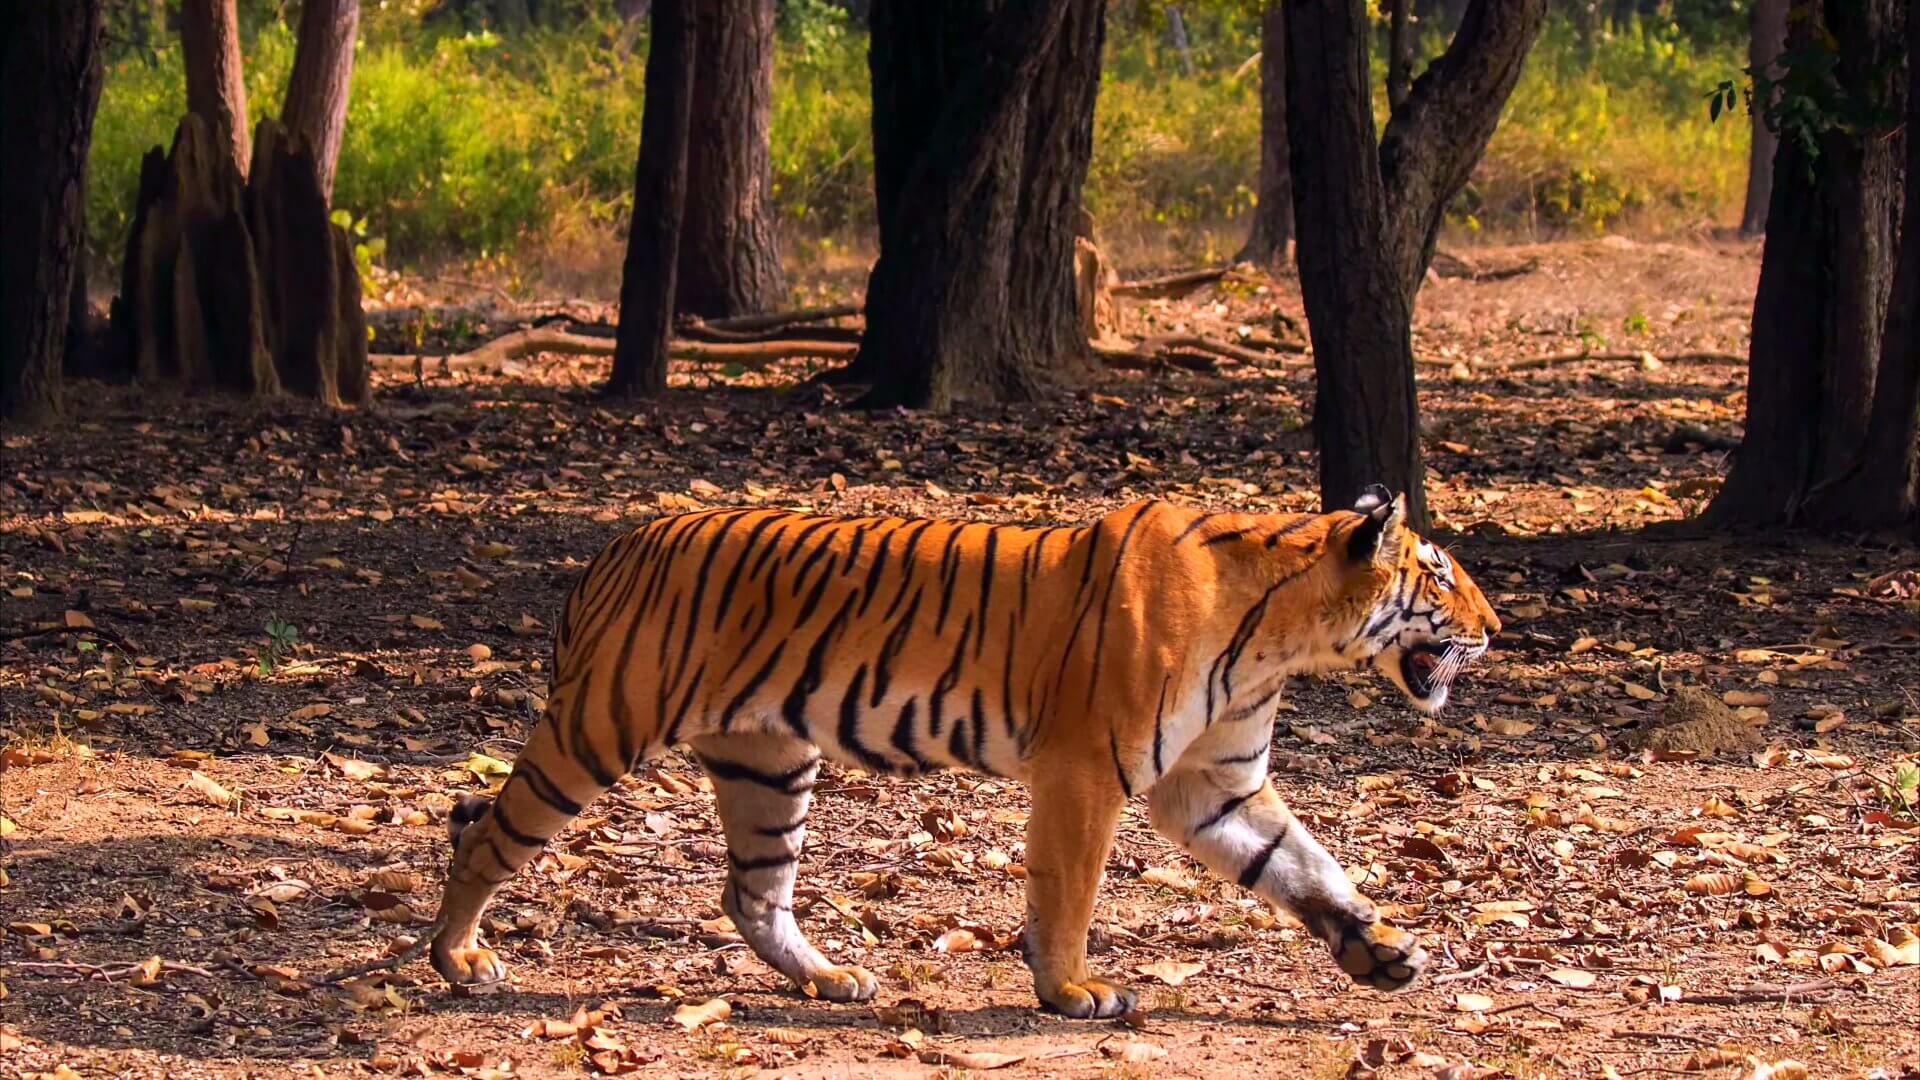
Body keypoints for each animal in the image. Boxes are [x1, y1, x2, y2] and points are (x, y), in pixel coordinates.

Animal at [432, 484, 1497, 1014]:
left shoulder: (1217, 783)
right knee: (486, 835)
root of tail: (613, 548)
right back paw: (459, 960)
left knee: (752, 894)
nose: (1497, 626)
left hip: (768, 761)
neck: (1285, 638)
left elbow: (1306, 866)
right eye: (1443, 574)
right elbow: (1067, 894)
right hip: (596, 729)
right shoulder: (1087, 770)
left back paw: (832, 980)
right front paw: (1071, 992)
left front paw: (1382, 951)